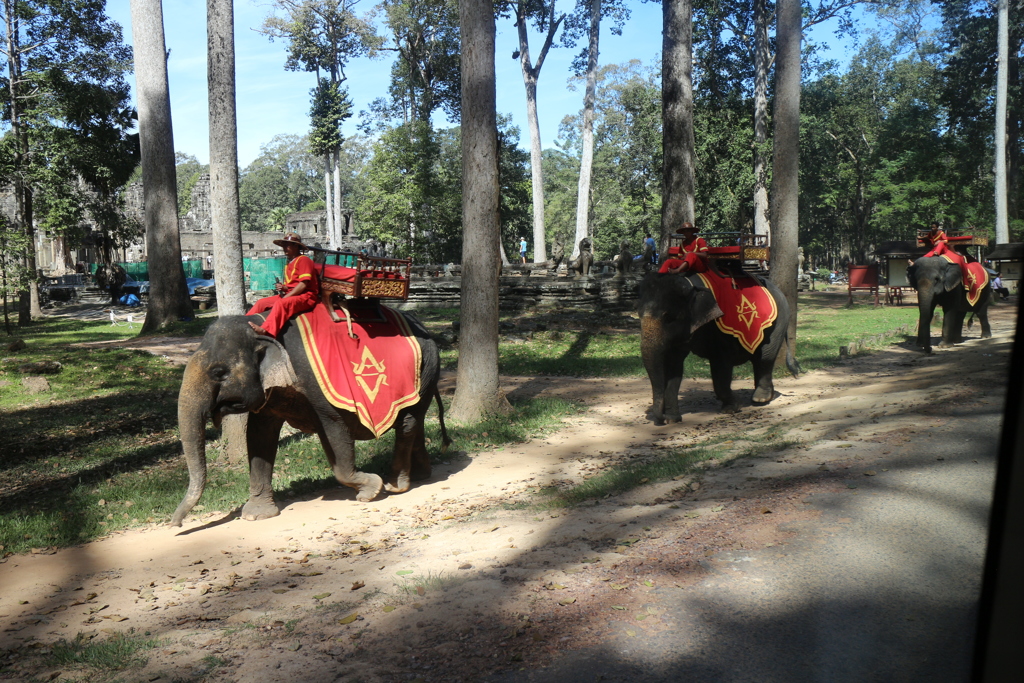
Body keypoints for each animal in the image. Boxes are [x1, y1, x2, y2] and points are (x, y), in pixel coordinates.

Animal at [169, 313, 450, 528]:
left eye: (219, 372)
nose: (176, 525)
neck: (260, 325)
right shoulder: (271, 394)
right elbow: (259, 436)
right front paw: (256, 515)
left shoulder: (319, 386)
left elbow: (334, 428)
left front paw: (371, 490)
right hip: (426, 376)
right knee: (415, 421)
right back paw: (421, 476)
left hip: (426, 368)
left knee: (407, 423)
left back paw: (395, 485)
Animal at [638, 270, 798, 421]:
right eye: (639, 315)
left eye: (669, 318)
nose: (661, 417)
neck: (690, 283)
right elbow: (674, 366)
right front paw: (672, 419)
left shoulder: (721, 328)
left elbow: (721, 365)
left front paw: (732, 408)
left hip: (779, 322)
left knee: (764, 358)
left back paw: (760, 399)